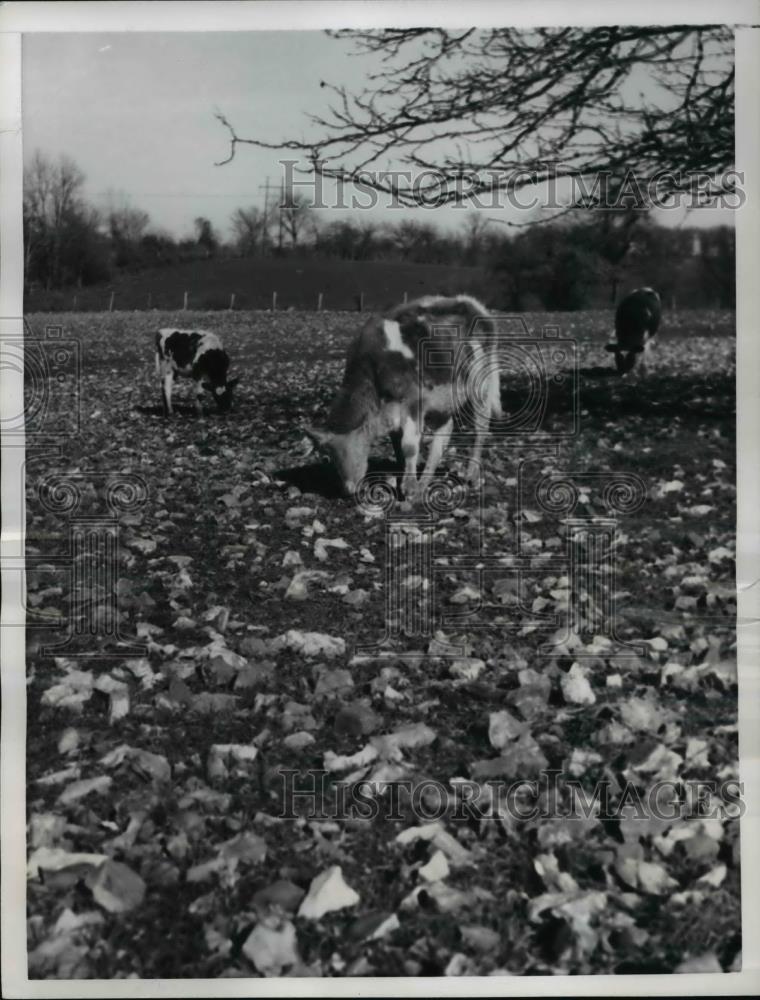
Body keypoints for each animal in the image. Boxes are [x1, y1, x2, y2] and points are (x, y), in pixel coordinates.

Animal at [306, 296, 502, 500]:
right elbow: (397, 445)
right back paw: (424, 482)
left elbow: (408, 446)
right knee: (445, 431)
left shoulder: (413, 402)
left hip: (481, 386)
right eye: (329, 455)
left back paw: (471, 474)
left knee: (480, 429)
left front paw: (409, 488)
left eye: (345, 449)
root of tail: (469, 302)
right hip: (443, 398)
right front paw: (406, 477)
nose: (348, 489)